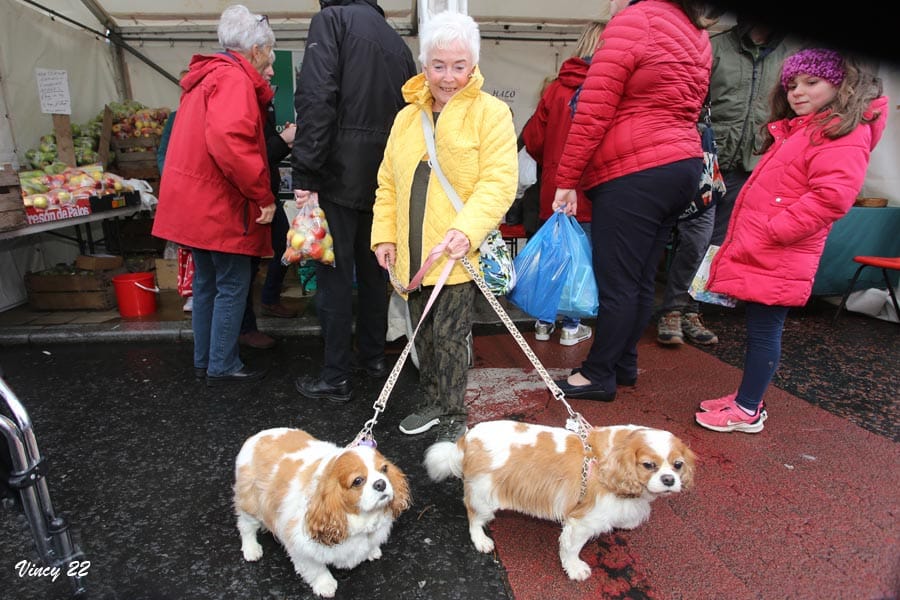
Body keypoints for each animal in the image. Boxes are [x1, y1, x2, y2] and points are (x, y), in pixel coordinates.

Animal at [234, 428, 414, 596]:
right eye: (358, 481)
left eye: (384, 469)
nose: (381, 483)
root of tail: (255, 437)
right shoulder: (301, 547)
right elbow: (316, 569)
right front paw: (325, 585)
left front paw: (371, 551)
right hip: (251, 505)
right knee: (245, 526)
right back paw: (251, 549)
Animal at [424, 420, 696, 580]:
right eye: (648, 465)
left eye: (678, 465)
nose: (669, 480)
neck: (612, 460)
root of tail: (467, 438)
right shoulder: (582, 522)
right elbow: (571, 547)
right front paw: (575, 568)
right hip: (484, 495)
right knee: (473, 517)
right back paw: (481, 540)